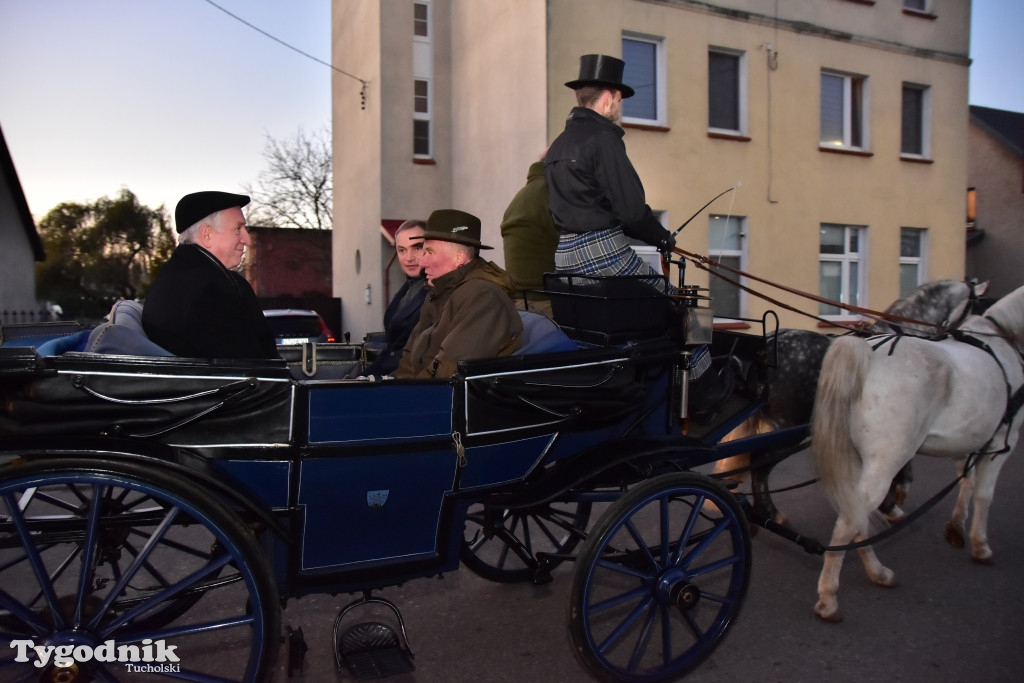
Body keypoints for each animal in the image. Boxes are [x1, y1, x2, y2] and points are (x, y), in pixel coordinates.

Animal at [806, 286, 1024, 622]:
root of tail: (868, 352)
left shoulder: (966, 439)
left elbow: (967, 481)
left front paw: (956, 528)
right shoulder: (1003, 441)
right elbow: (984, 494)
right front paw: (980, 545)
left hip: (859, 460)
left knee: (855, 513)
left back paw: (878, 572)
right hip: (886, 460)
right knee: (850, 519)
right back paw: (829, 598)